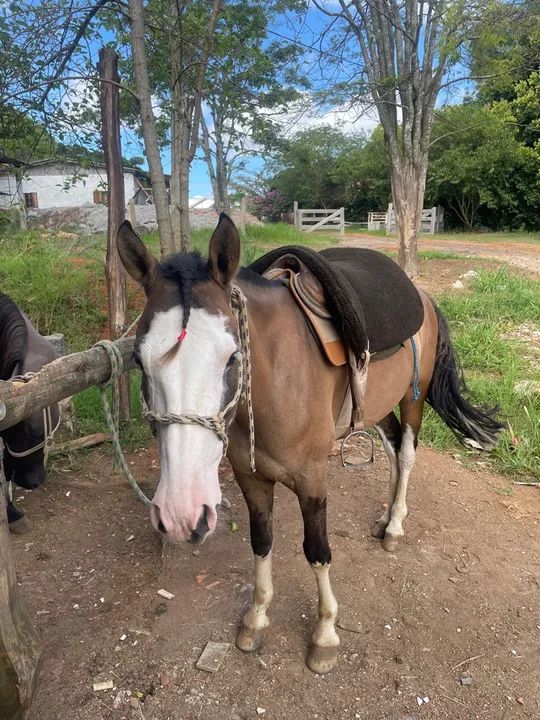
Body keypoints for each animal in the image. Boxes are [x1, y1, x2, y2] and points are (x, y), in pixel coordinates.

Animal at [117, 214, 504, 674]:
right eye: (138, 360)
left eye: (232, 356)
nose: (181, 514)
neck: (275, 384)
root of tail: (423, 297)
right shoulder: (251, 478)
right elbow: (261, 542)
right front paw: (256, 618)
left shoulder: (312, 479)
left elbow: (317, 551)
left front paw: (325, 635)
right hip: (379, 406)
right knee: (393, 451)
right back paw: (384, 516)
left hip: (413, 398)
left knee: (407, 455)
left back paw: (394, 525)